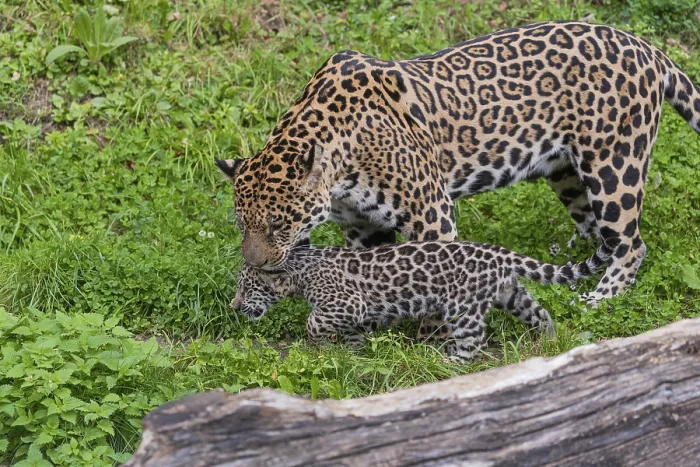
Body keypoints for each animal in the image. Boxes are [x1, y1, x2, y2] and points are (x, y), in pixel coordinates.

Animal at [217, 20, 700, 320]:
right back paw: (566, 260)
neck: (342, 169)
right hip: (564, 170)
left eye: (279, 225)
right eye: (242, 225)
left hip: (614, 164)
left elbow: (435, 273)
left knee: (630, 242)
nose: (255, 263)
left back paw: (600, 297)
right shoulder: (361, 227)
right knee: (592, 226)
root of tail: (645, 46)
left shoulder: (431, 214)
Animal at [230, 238, 618, 361]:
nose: (234, 306)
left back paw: (451, 361)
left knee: (475, 341)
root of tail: (499, 254)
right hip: (511, 294)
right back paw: (550, 344)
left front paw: (322, 343)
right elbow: (353, 335)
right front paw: (353, 353)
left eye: (247, 288)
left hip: (464, 307)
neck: (300, 269)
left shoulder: (346, 303)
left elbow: (314, 322)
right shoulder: (355, 313)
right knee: (540, 312)